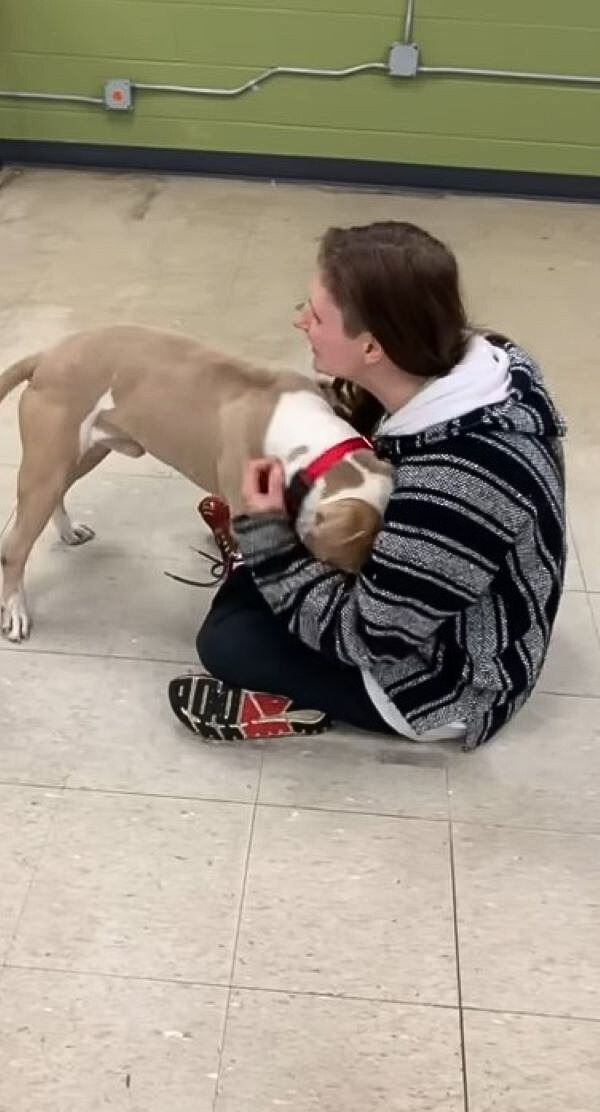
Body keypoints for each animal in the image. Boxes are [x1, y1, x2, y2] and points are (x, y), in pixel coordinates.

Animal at [1, 324, 393, 640]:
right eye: (347, 569)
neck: (313, 449)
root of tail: (47, 356)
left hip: (81, 456)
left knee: (54, 498)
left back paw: (67, 531)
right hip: (49, 465)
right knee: (15, 547)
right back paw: (16, 611)